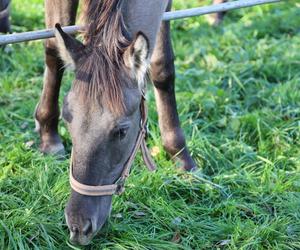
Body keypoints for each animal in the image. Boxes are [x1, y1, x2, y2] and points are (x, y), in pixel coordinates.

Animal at [32, 0, 225, 246]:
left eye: (121, 131)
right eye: (67, 119)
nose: (78, 227)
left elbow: (161, 66)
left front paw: (181, 157)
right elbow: (52, 50)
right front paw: (48, 135)